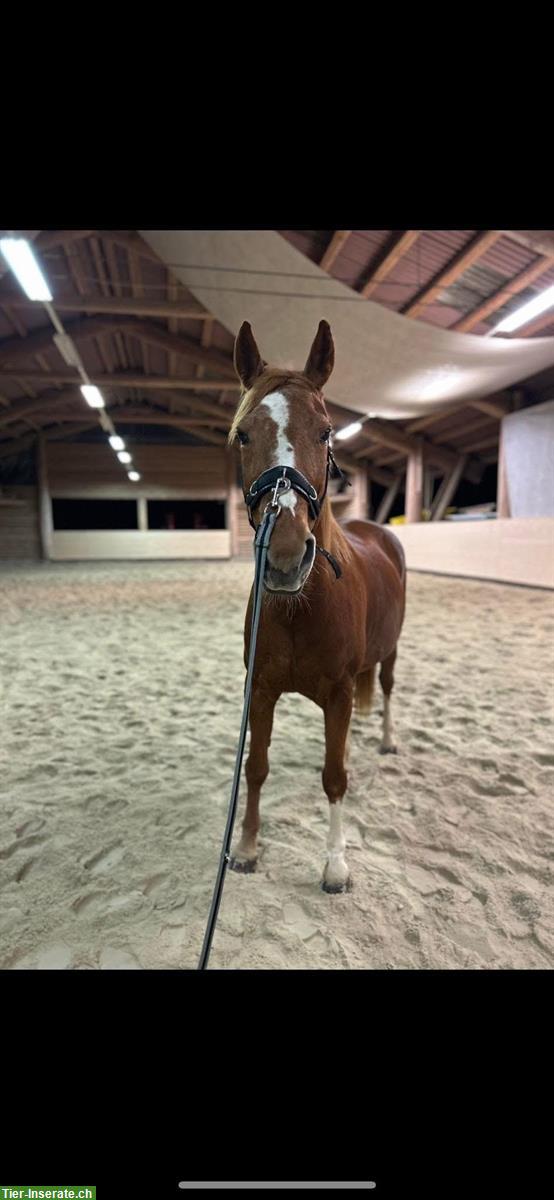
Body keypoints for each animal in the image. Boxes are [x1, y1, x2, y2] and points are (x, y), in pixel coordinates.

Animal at [226, 319, 405, 892]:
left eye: (326, 432)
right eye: (243, 434)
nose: (285, 558)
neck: (300, 609)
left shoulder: (340, 693)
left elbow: (335, 777)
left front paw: (335, 864)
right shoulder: (260, 691)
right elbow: (256, 766)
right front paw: (247, 847)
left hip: (391, 652)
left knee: (387, 689)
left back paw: (387, 740)